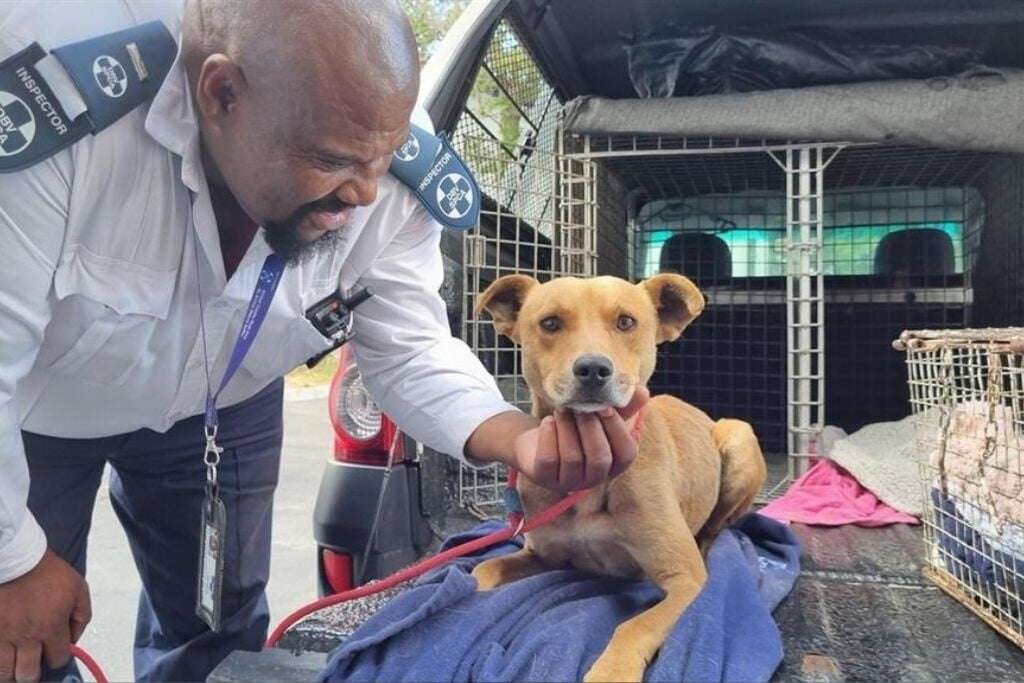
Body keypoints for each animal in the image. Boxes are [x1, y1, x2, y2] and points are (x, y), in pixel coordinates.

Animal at [468, 274, 765, 683]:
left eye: (626, 322)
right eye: (550, 323)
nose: (593, 369)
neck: (591, 475)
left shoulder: (685, 579)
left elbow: (634, 626)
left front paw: (612, 671)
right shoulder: (542, 555)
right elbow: (482, 570)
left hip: (738, 437)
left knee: (716, 526)